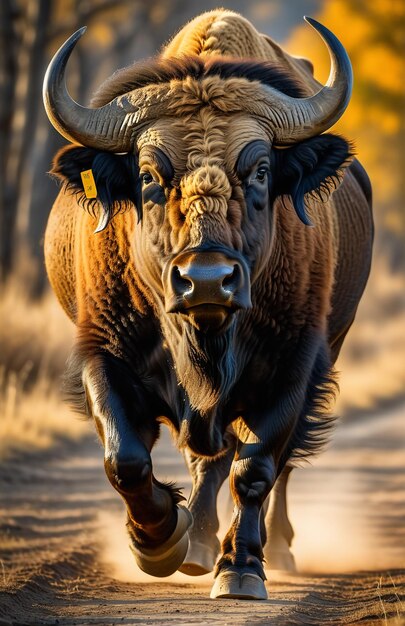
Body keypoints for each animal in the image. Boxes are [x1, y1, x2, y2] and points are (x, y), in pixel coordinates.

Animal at [42, 8, 370, 596]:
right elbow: (125, 457)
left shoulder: (294, 364)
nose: (208, 281)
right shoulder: (105, 352)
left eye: (260, 170)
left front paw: (240, 569)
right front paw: (159, 542)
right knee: (204, 459)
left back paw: (270, 549)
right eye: (148, 174)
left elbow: (256, 468)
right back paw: (194, 545)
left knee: (263, 464)